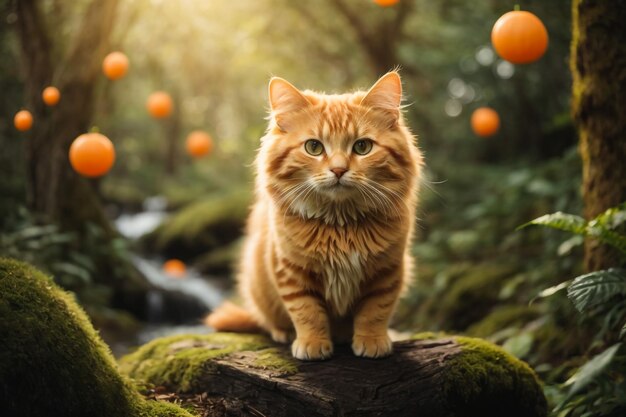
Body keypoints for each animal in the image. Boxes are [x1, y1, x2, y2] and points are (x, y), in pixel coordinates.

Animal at [207, 70, 422, 358]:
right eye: (314, 147)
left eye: (362, 147)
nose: (339, 169)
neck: (341, 225)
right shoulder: (291, 272)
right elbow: (307, 312)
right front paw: (313, 343)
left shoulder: (388, 271)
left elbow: (375, 311)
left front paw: (372, 341)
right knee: (268, 320)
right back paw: (284, 333)